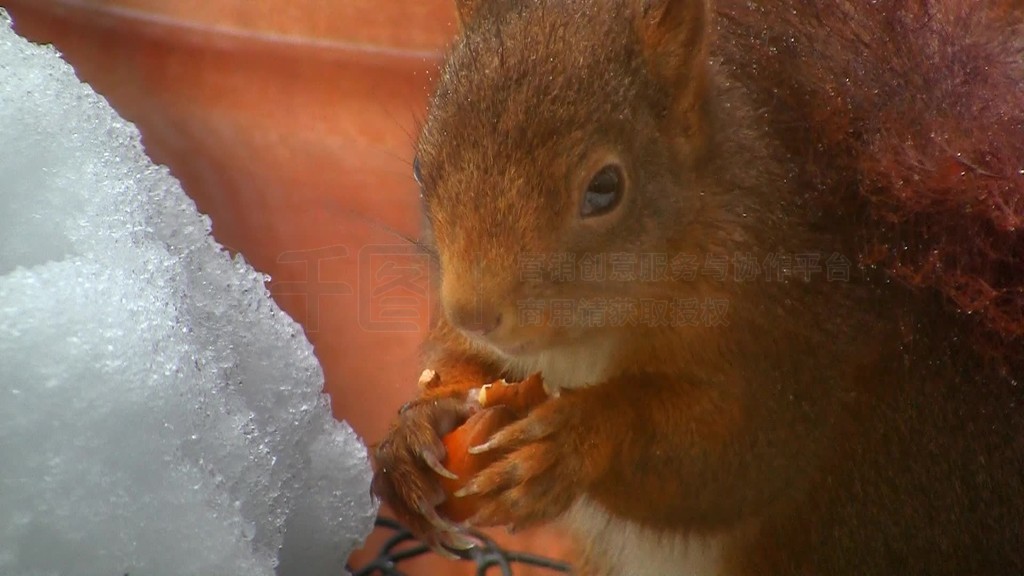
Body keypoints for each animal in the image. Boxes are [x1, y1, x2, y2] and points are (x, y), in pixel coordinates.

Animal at [372, 1, 1024, 573]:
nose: (475, 312)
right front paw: (416, 430)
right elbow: (458, 366)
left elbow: (735, 461)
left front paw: (575, 436)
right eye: (420, 168)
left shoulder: (796, 342)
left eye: (606, 188)